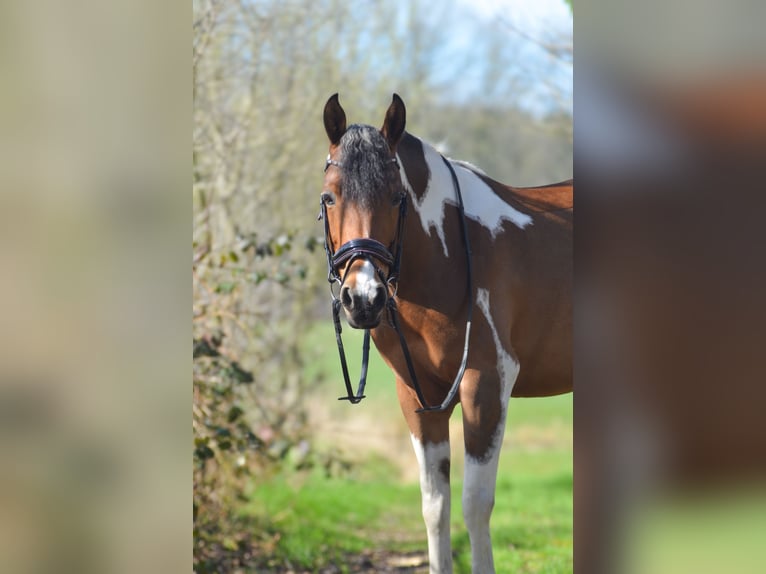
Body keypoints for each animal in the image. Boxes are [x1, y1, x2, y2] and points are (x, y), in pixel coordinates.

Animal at [318, 93, 572, 573]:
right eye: (328, 197)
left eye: (397, 196)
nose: (363, 298)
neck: (453, 252)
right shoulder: (417, 397)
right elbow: (435, 506)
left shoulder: (486, 386)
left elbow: (476, 505)